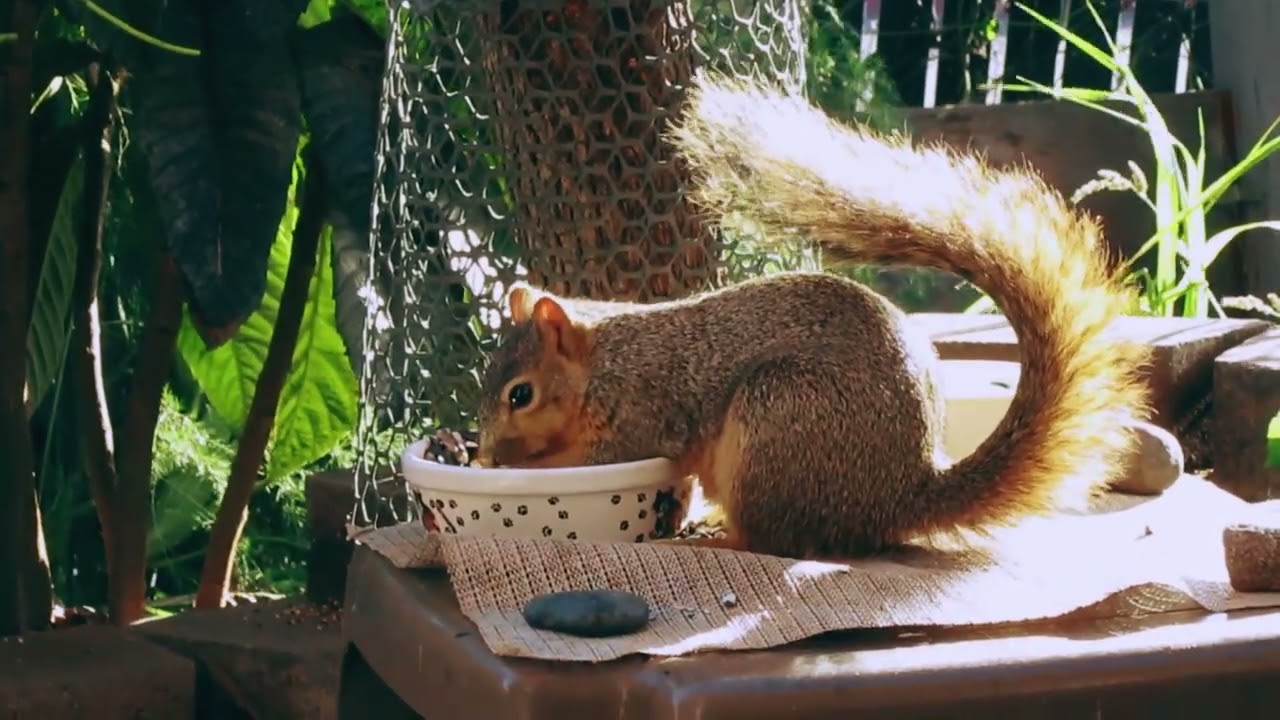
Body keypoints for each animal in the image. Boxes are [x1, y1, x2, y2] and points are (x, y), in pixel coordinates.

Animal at [473, 76, 1151, 559]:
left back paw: (719, 538)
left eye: (521, 394)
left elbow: (587, 460)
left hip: (777, 414)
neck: (602, 364)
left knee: (773, 540)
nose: (486, 451)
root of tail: (899, 496)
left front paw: (509, 466)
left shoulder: (638, 413)